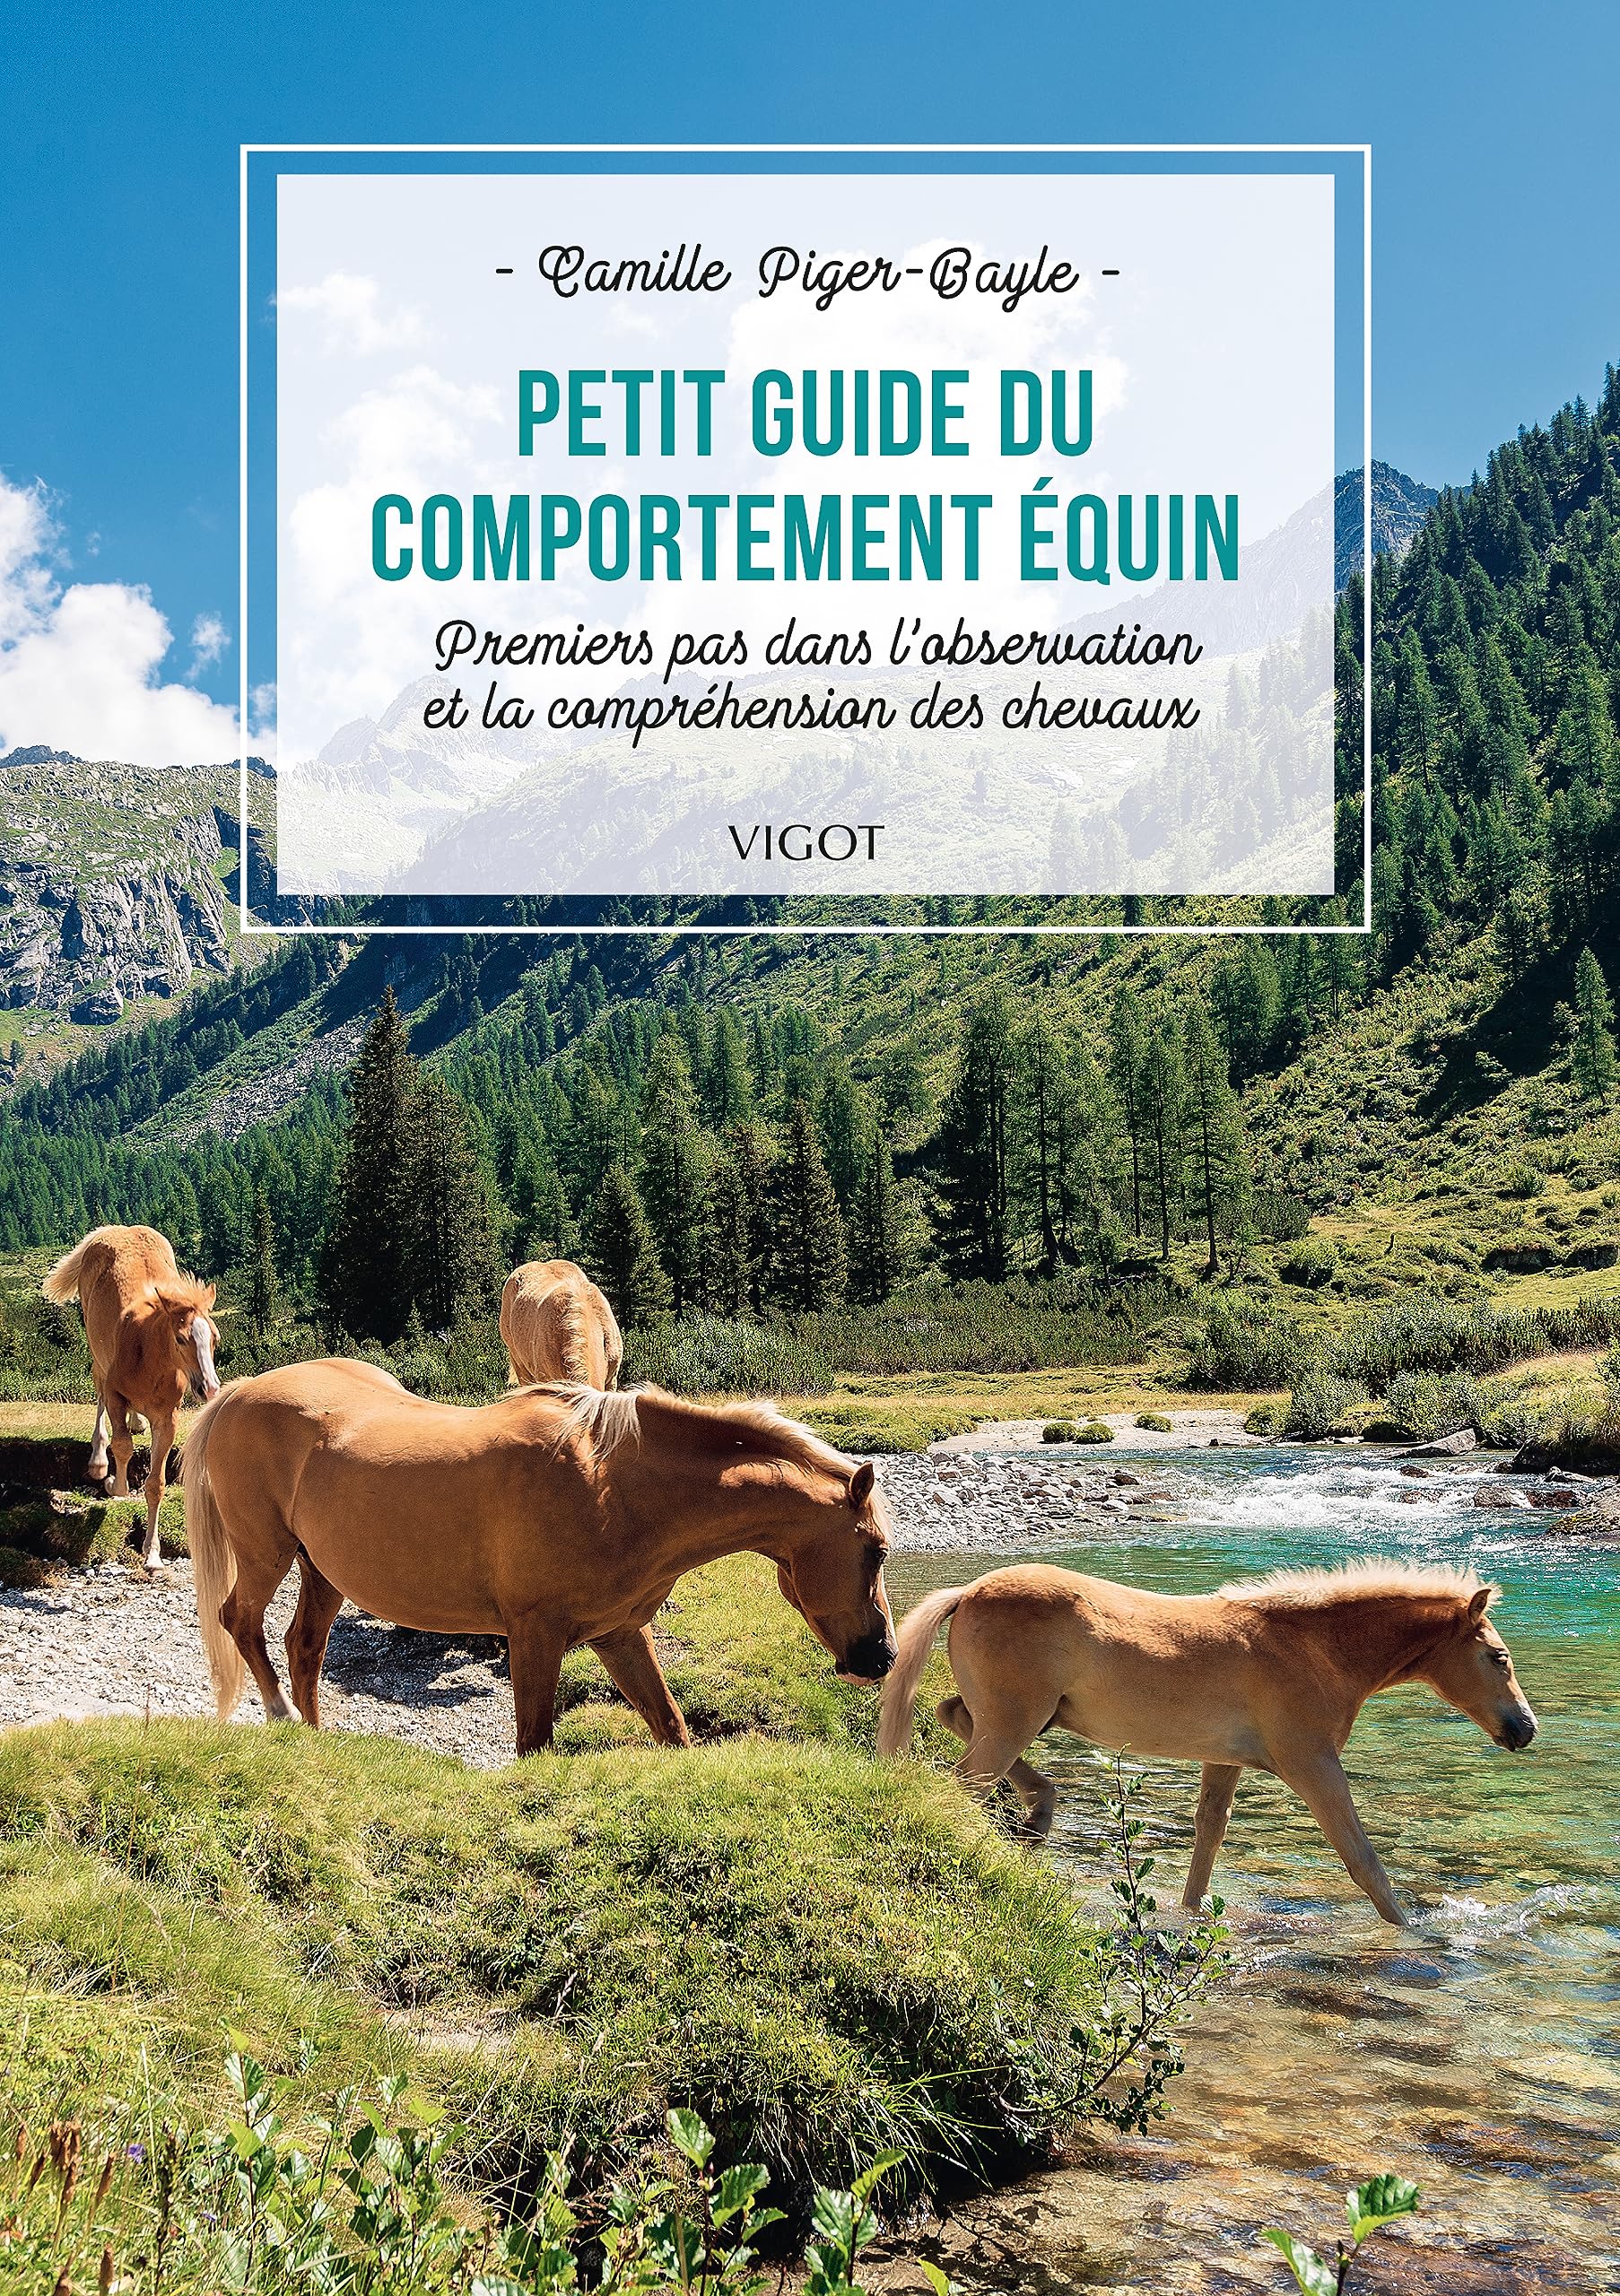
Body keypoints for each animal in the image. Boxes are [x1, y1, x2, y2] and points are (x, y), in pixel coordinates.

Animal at [42, 1224, 221, 1572]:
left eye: (214, 1339)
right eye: (181, 1339)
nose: (209, 1388)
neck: (147, 1355)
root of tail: (115, 1228)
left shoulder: (168, 1418)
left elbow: (156, 1483)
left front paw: (152, 1554)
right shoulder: (115, 1394)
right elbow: (121, 1445)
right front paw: (112, 1483)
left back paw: (137, 1422)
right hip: (95, 1343)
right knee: (98, 1382)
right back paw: (99, 1459)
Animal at [183, 1358, 895, 1755]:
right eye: (878, 1550)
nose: (881, 1657)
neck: (611, 1487)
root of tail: (239, 1393)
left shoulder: (618, 1634)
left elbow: (671, 1727)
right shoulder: (534, 1636)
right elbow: (534, 1744)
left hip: (321, 1570)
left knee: (303, 1648)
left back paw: (313, 1739)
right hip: (266, 1552)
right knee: (240, 1621)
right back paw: (279, 1716)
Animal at [877, 1559, 1538, 1926]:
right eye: (1497, 1657)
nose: (1525, 1729)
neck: (1310, 1649)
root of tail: (968, 1592)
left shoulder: (1225, 1761)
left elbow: (1207, 1838)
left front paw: (1190, 1916)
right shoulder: (1312, 1763)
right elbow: (1362, 1859)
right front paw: (1412, 1930)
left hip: (1020, 1716)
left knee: (953, 1718)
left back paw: (1040, 1809)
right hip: (1017, 1716)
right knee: (961, 1780)